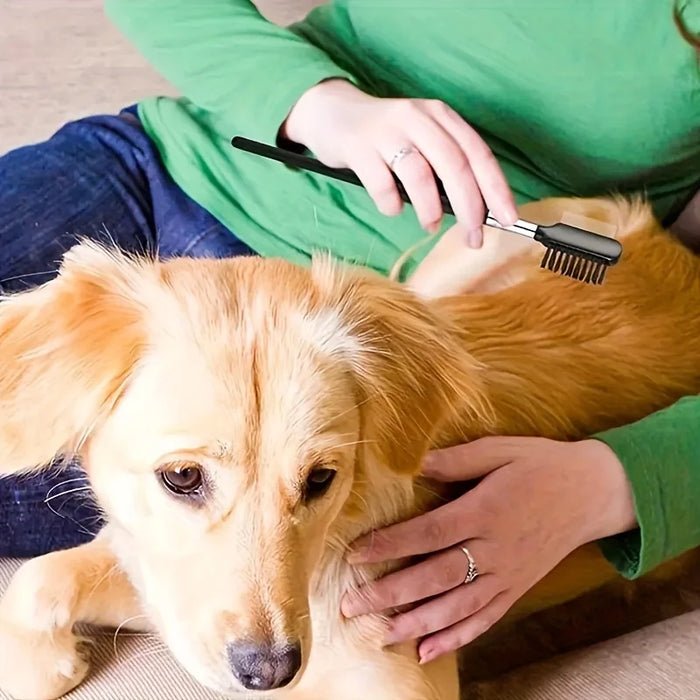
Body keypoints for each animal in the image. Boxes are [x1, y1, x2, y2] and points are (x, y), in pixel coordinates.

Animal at [1, 197, 700, 700]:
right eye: (181, 477)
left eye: (320, 479)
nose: (270, 672)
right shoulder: (162, 584)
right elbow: (38, 577)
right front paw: (45, 668)